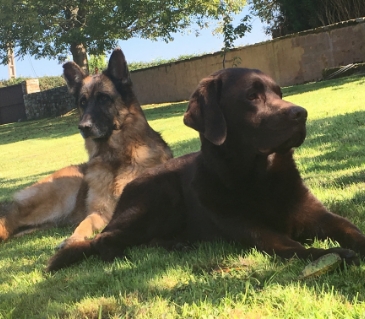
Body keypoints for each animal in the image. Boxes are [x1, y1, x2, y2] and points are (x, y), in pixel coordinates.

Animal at [0, 48, 172, 249]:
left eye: (104, 99)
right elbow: (84, 224)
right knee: (12, 215)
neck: (114, 159)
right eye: (83, 102)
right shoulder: (99, 213)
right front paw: (73, 239)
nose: (83, 127)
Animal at [47, 68, 364, 272]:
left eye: (279, 93)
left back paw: (178, 244)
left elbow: (350, 228)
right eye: (252, 96)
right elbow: (295, 248)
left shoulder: (317, 214)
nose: (301, 114)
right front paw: (335, 253)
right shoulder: (254, 231)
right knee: (104, 239)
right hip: (160, 194)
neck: (259, 177)